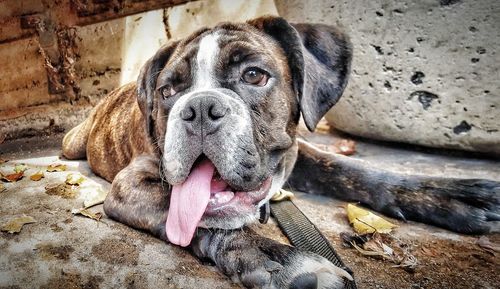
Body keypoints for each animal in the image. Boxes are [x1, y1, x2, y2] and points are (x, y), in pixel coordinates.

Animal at [63, 16, 500, 288]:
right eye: (168, 92)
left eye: (255, 75)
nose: (199, 108)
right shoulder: (131, 186)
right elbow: (204, 220)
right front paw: (282, 261)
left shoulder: (298, 151)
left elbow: (350, 169)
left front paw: (455, 194)